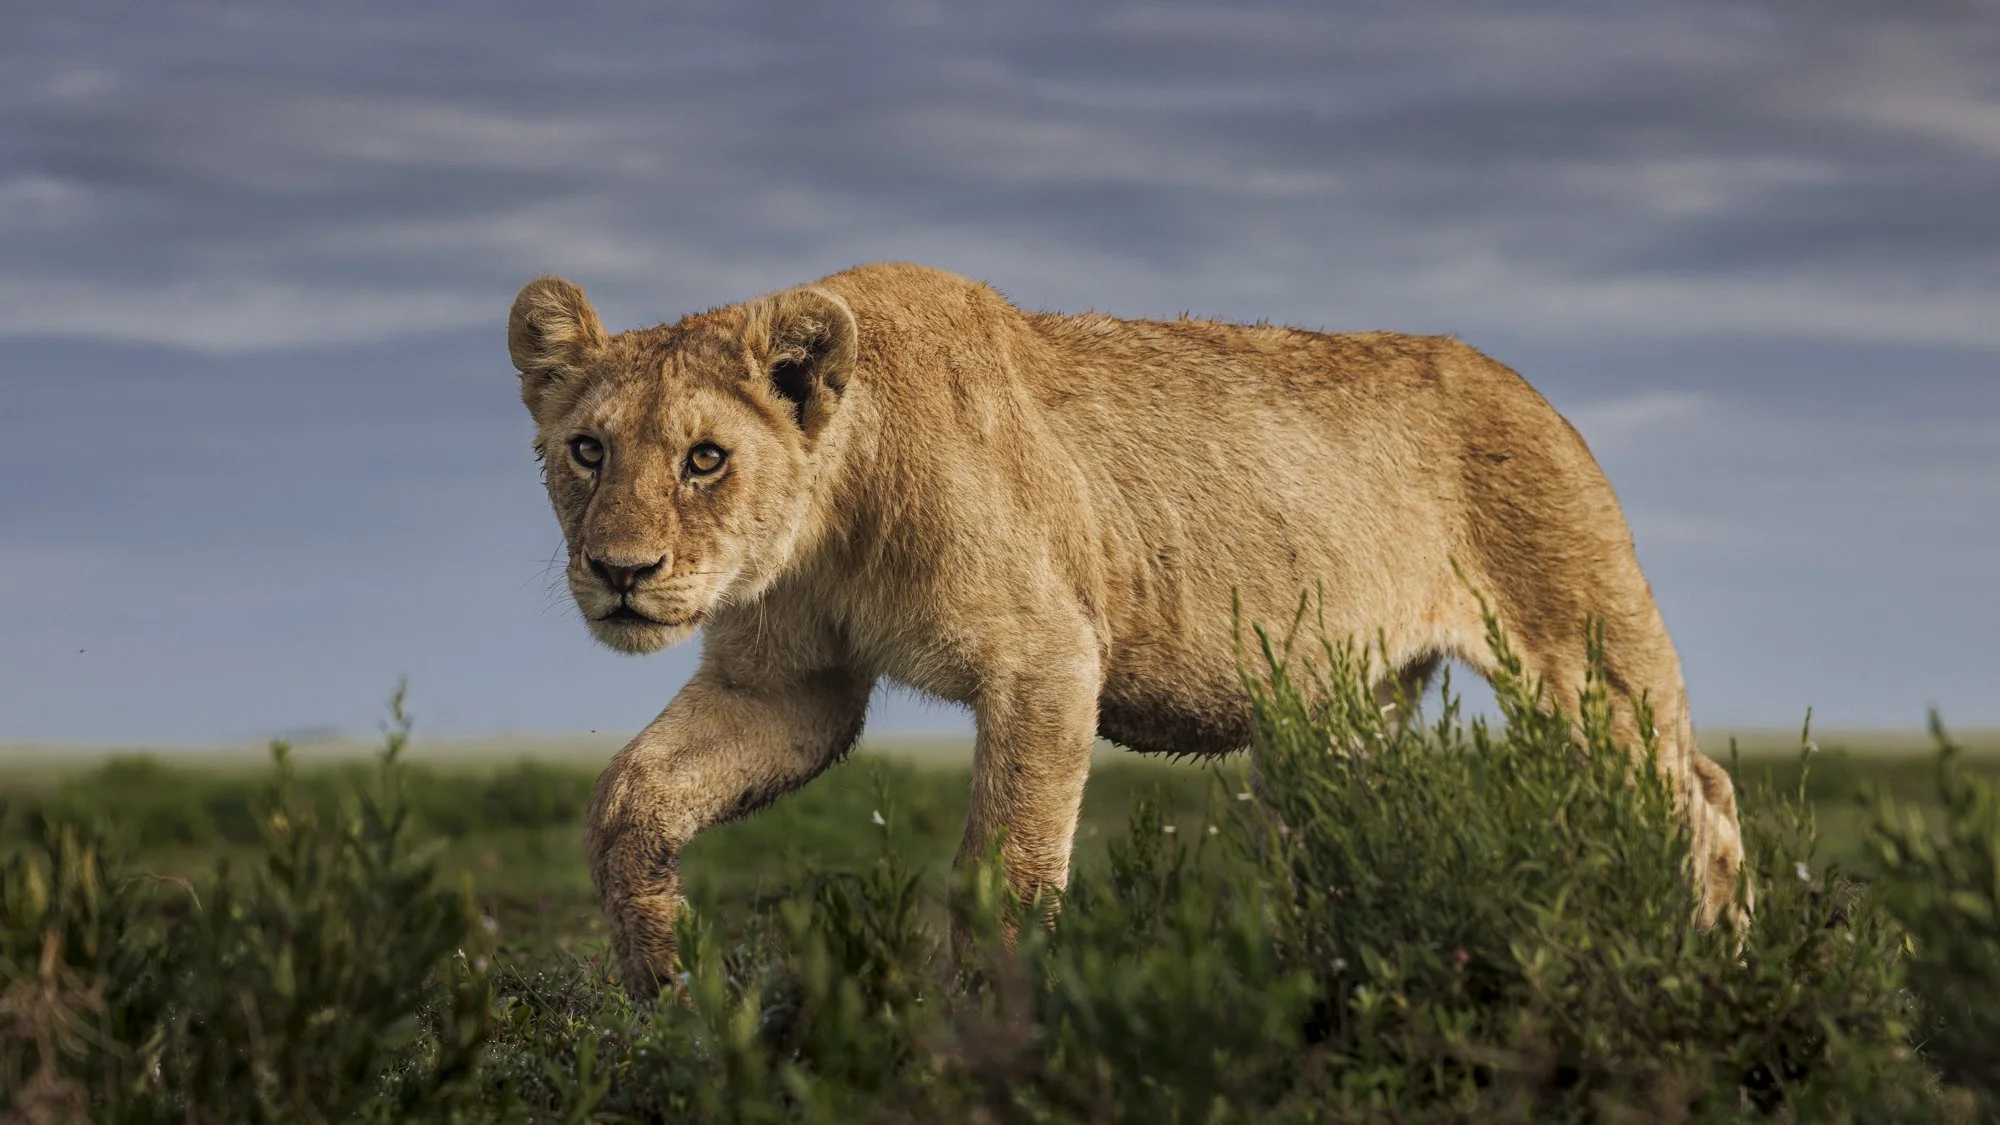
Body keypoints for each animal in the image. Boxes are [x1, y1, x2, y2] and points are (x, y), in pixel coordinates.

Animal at [506, 261, 1749, 998]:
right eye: (588, 450)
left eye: (705, 458)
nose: (620, 573)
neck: (831, 521)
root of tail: (1523, 383)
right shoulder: (789, 688)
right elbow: (626, 802)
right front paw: (664, 981)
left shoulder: (1048, 659)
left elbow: (1003, 871)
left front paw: (981, 1038)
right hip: (1331, 726)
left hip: (1577, 653)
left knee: (1698, 791)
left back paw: (1712, 971)